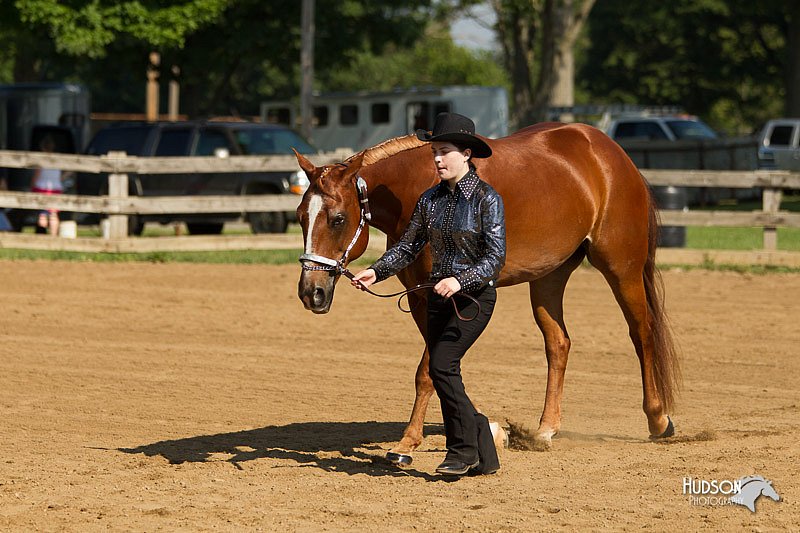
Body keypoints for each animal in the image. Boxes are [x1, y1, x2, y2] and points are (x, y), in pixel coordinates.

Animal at [294, 122, 680, 464]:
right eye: (300, 216)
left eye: (338, 219)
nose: (311, 292)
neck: (419, 187)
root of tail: (612, 153)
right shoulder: (421, 298)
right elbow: (439, 368)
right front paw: (480, 429)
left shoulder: (443, 293)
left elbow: (428, 371)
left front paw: (407, 442)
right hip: (549, 277)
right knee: (558, 343)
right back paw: (545, 429)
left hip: (621, 267)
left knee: (642, 333)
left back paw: (659, 419)